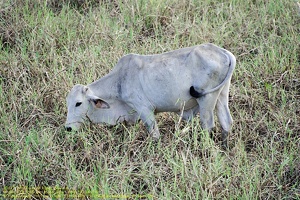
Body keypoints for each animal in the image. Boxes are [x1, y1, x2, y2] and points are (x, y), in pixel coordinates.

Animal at [64, 43, 236, 148]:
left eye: (78, 103)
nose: (68, 128)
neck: (119, 80)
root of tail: (224, 52)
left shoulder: (144, 109)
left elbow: (154, 135)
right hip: (221, 94)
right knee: (226, 122)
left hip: (206, 98)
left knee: (208, 125)